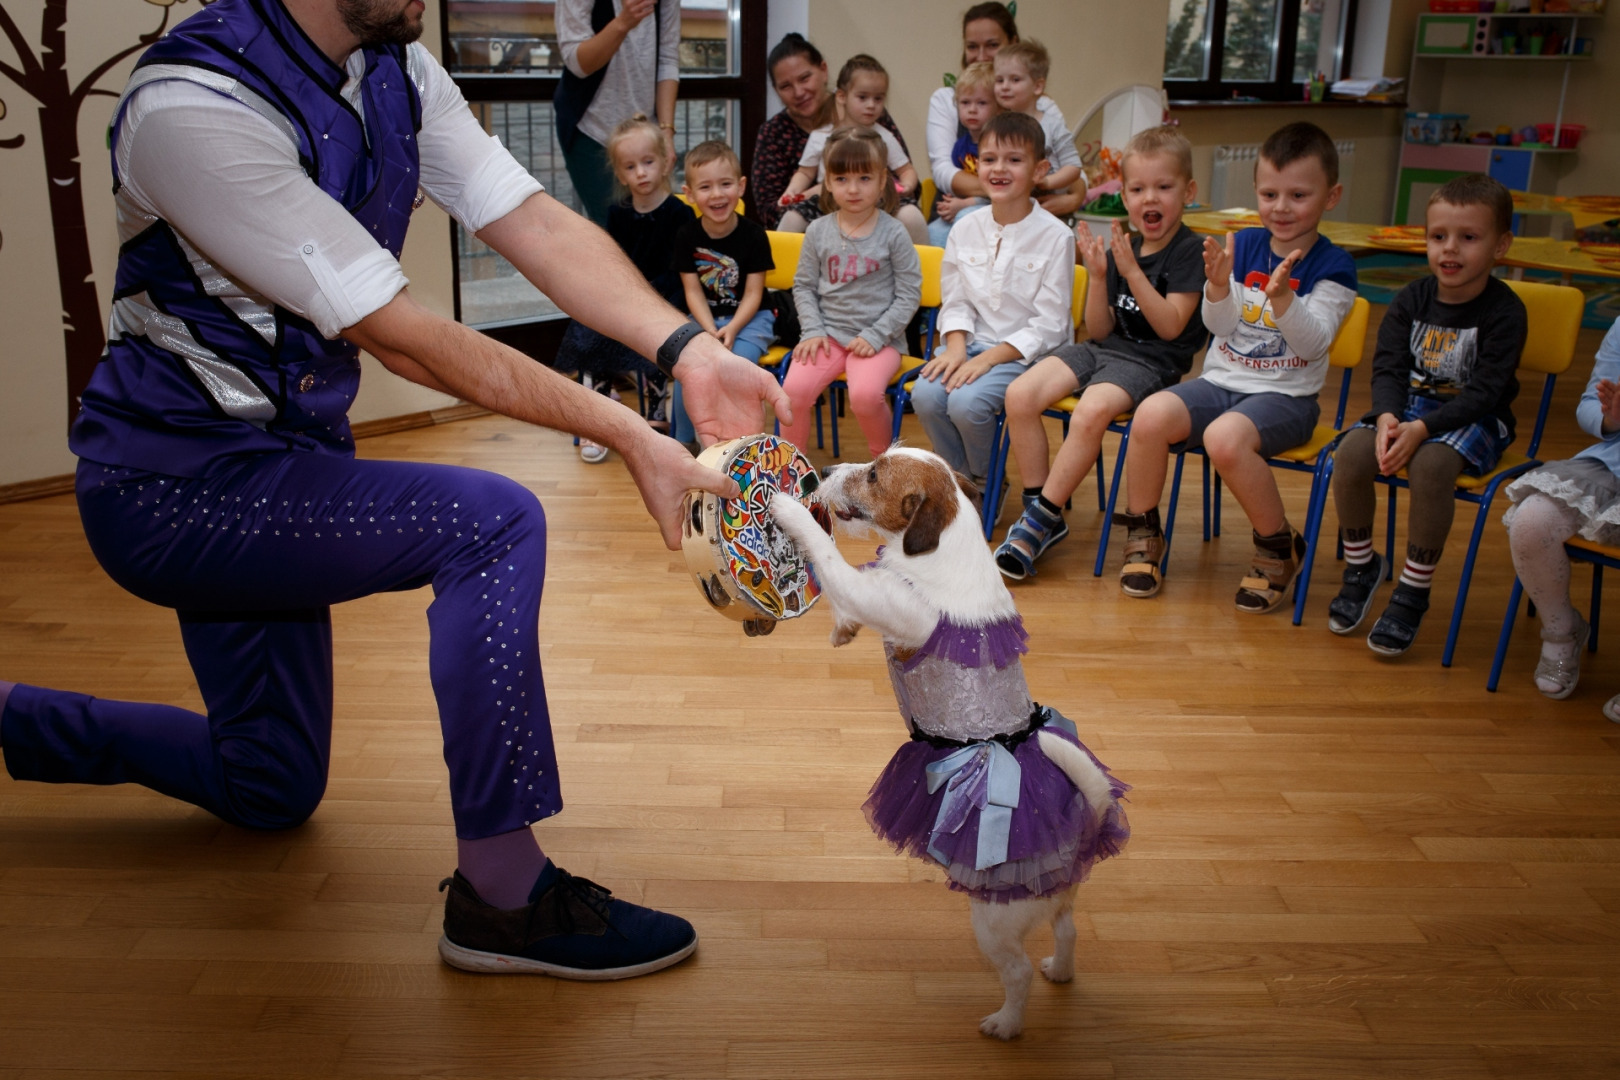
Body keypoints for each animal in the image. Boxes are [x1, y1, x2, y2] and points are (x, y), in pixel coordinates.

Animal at [767, 446, 1127, 1036]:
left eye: (874, 475)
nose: (827, 470)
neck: (940, 549)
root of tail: (1084, 837)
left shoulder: (877, 597)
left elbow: (833, 560)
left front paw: (789, 511)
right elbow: (850, 598)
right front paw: (842, 630)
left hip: (994, 921)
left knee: (1017, 971)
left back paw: (1006, 1023)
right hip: (1058, 905)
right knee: (1068, 929)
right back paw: (1061, 970)